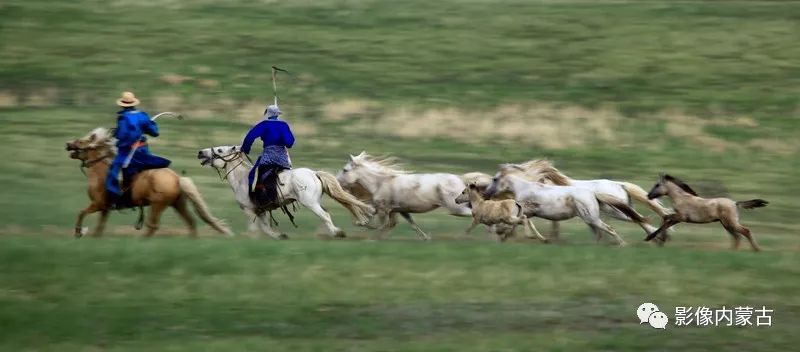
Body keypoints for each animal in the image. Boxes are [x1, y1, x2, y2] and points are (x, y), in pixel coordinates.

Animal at [67, 128, 233, 238]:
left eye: (81, 141)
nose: (68, 144)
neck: (101, 172)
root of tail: (177, 178)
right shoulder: (105, 208)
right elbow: (100, 226)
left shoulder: (98, 204)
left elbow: (81, 213)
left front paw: (78, 232)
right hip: (177, 204)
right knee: (190, 222)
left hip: (158, 205)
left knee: (153, 225)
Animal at [198, 145, 376, 239]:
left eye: (219, 150)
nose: (200, 152)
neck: (242, 179)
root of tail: (314, 173)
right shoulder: (261, 211)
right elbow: (266, 228)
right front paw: (280, 236)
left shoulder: (249, 210)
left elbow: (255, 229)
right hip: (315, 202)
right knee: (327, 213)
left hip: (310, 203)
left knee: (325, 215)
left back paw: (337, 232)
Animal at [334, 151, 472, 239]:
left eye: (345, 170)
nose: (336, 181)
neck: (380, 183)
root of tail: (461, 179)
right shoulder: (399, 210)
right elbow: (411, 225)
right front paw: (426, 238)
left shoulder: (384, 209)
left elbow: (382, 225)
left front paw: (372, 236)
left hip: (456, 208)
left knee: (472, 215)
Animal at [484, 168, 652, 246]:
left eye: (495, 179)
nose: (485, 193)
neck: (523, 188)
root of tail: (593, 193)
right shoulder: (528, 213)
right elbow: (520, 223)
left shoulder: (526, 211)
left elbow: (519, 223)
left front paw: (503, 234)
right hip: (594, 219)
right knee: (604, 232)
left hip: (594, 218)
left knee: (611, 228)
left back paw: (623, 244)